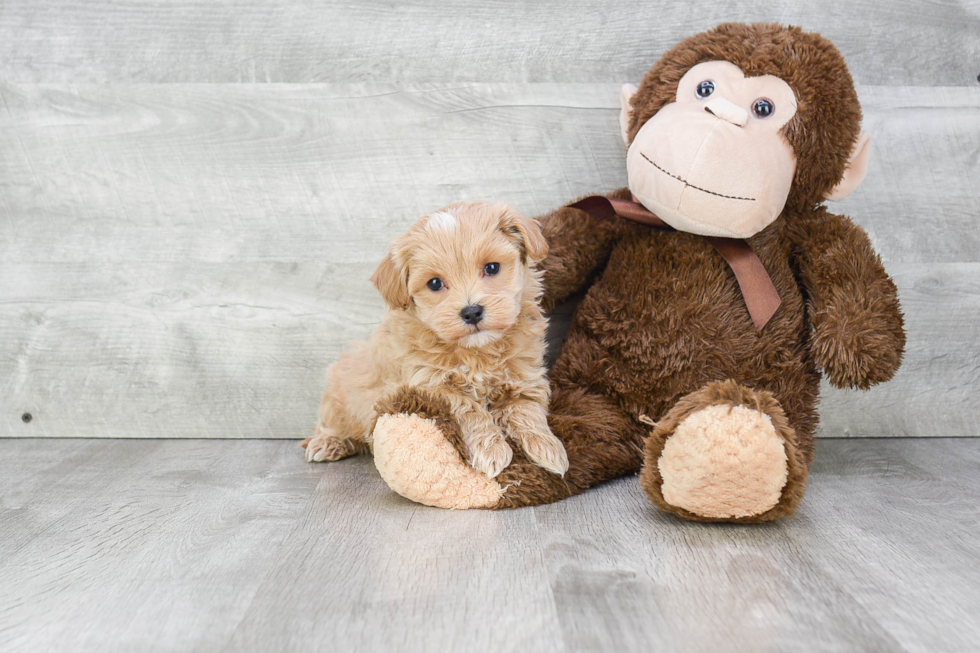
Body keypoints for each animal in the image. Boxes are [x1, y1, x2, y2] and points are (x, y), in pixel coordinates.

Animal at [302, 202, 572, 478]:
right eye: (434, 283)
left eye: (492, 268)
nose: (471, 312)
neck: (476, 352)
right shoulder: (432, 386)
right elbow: (468, 408)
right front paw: (491, 450)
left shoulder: (524, 377)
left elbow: (526, 409)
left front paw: (547, 448)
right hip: (339, 397)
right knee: (330, 425)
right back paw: (327, 443)